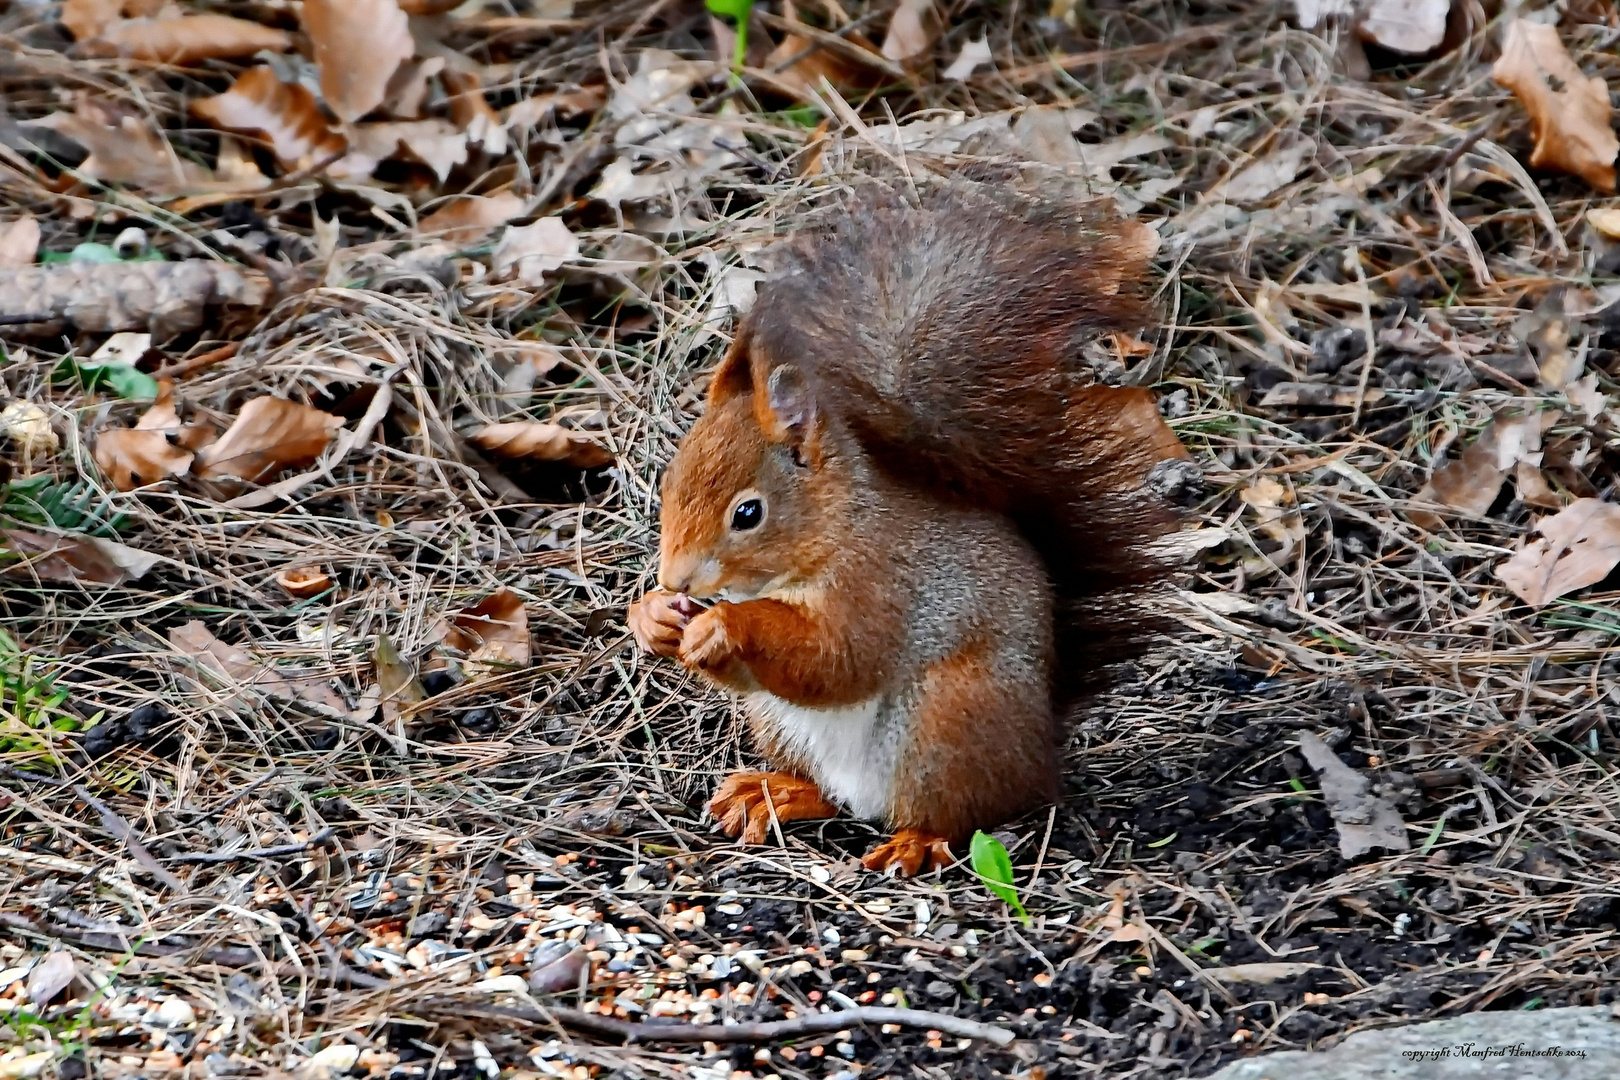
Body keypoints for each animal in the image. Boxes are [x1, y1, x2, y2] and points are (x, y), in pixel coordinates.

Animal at [625, 183, 1185, 880]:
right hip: (784, 726)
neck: (835, 530)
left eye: (747, 514)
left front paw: (724, 625)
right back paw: (773, 791)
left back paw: (915, 840)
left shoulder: (882, 586)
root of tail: (1040, 754)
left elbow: (839, 658)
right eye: (669, 485)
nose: (674, 579)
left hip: (949, 720)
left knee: (958, 813)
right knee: (832, 793)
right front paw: (651, 618)